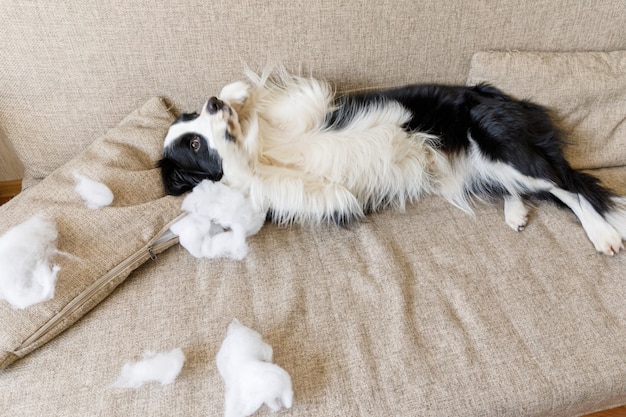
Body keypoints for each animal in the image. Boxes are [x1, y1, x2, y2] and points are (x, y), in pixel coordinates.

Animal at [160, 69, 624, 254]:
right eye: (195, 146)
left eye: (191, 120)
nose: (212, 105)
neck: (264, 147)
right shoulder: (316, 193)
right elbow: (254, 176)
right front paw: (234, 148)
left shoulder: (310, 109)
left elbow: (273, 102)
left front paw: (236, 95)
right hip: (482, 167)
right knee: (538, 186)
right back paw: (516, 212)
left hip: (500, 148)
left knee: (567, 184)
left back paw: (603, 234)